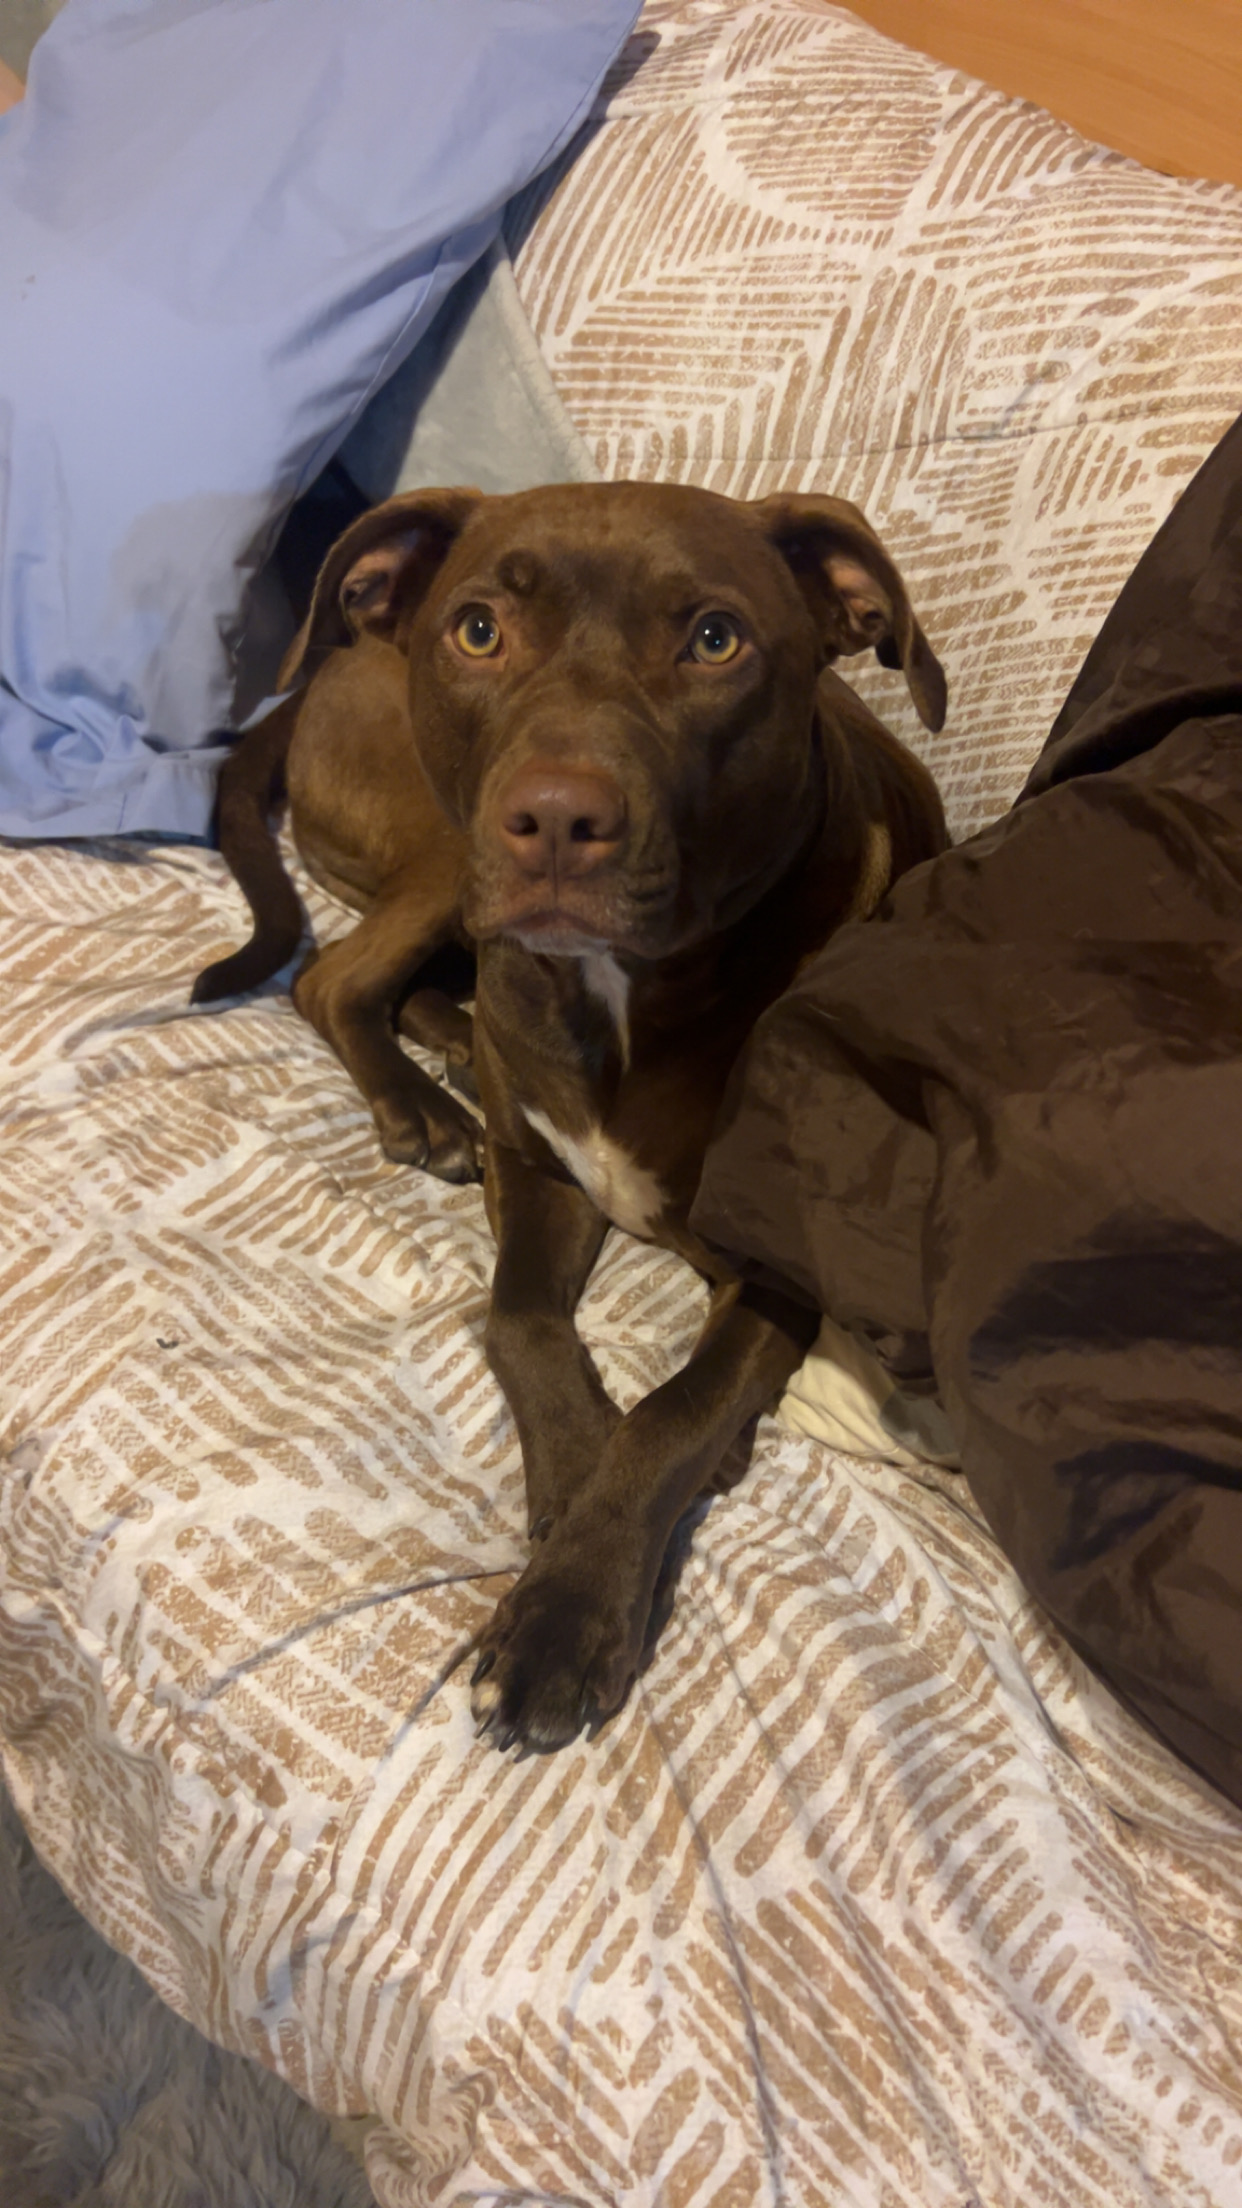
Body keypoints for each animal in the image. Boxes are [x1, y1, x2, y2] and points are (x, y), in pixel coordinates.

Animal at [194, 480, 948, 1749]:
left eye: (715, 639)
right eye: (479, 630)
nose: (556, 817)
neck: (623, 993)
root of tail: (330, 658)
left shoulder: (775, 1271)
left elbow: (676, 1411)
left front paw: (568, 1608)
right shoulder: (537, 1174)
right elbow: (519, 1322)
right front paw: (572, 1472)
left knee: (365, 981)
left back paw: (449, 1052)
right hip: (444, 844)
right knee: (333, 979)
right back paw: (431, 1095)